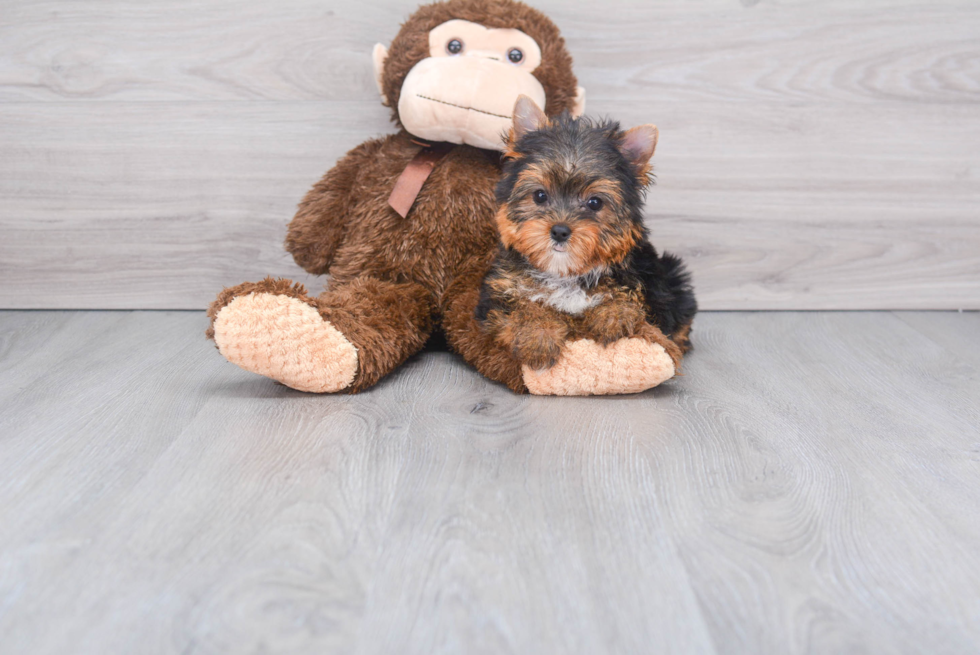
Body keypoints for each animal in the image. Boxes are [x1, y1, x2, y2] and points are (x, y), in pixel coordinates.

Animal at [474, 97, 696, 374]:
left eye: (594, 203)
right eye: (539, 195)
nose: (559, 231)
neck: (565, 272)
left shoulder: (646, 278)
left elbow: (629, 298)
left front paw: (613, 314)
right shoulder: (497, 293)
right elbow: (521, 307)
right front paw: (538, 334)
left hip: (671, 273)